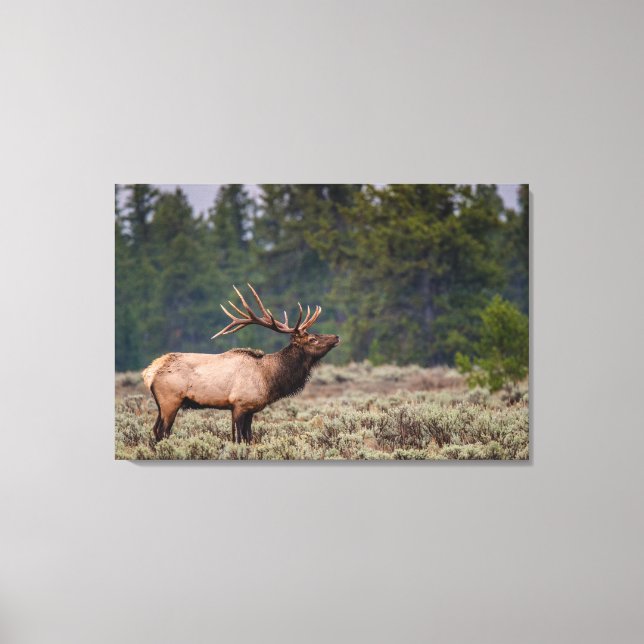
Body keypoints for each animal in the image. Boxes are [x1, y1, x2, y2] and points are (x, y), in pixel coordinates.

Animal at [141, 284, 340, 444]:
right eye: (313, 339)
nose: (336, 337)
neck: (268, 378)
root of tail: (149, 372)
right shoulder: (239, 404)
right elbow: (238, 437)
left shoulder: (250, 409)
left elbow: (248, 437)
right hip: (170, 400)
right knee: (163, 431)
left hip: (162, 404)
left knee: (155, 429)